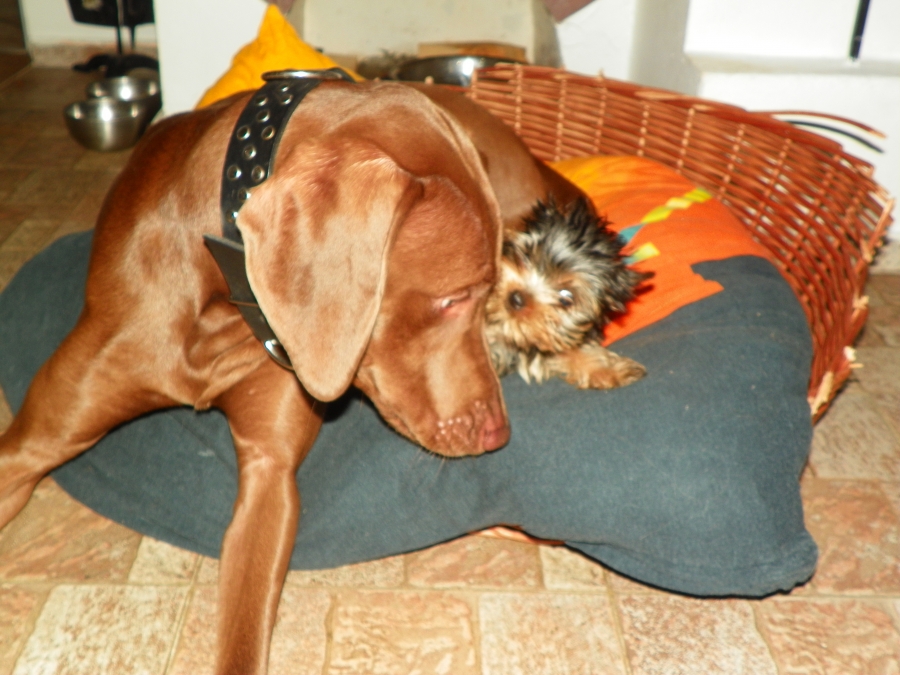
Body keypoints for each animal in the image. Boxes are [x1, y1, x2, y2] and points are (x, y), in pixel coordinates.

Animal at [486, 197, 650, 389]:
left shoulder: (543, 336)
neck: (501, 327)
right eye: (525, 255)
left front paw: (610, 369)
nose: (516, 297)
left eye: (566, 297)